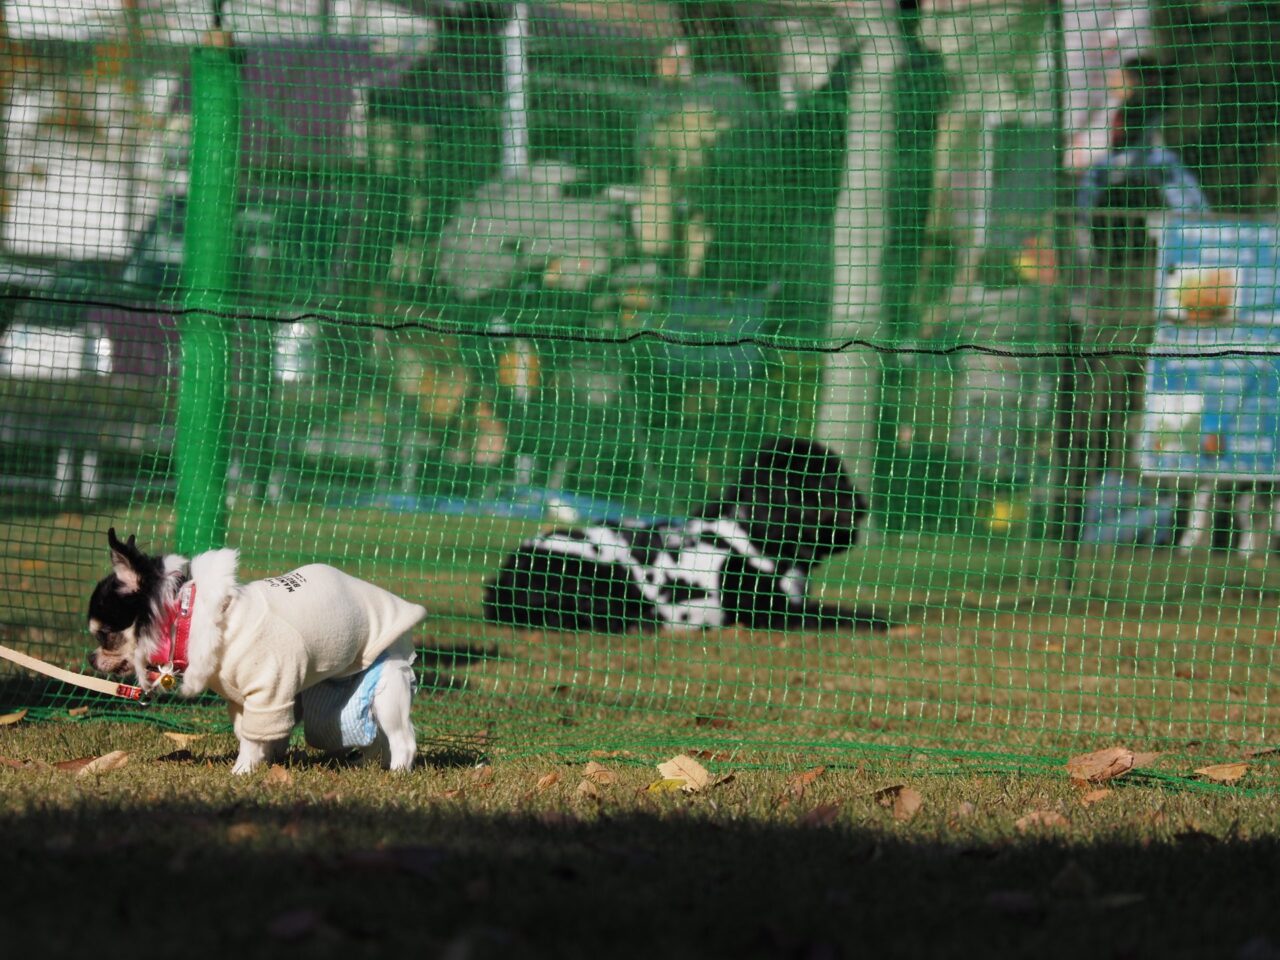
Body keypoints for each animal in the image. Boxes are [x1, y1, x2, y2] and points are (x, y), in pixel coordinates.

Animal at [87, 529, 424, 778]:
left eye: (104, 635)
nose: (90, 658)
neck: (188, 620)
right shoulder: (241, 700)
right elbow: (250, 733)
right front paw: (260, 763)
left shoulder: (268, 692)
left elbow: (252, 736)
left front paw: (241, 771)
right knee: (373, 738)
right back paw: (365, 766)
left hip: (386, 690)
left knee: (402, 738)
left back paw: (396, 773)